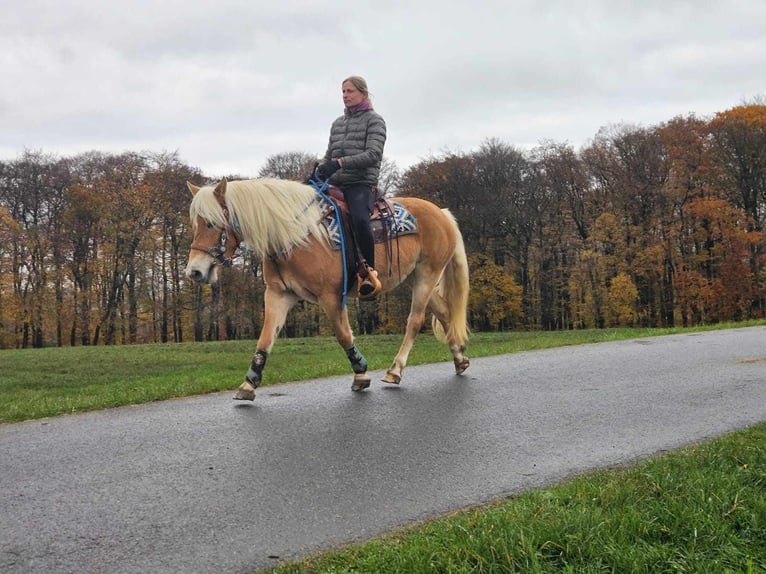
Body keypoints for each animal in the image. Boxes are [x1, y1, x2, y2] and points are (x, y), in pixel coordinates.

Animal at [188, 178, 474, 402]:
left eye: (211, 223)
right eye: (195, 224)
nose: (194, 271)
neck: (295, 236)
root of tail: (442, 213)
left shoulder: (331, 297)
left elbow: (344, 335)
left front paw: (361, 373)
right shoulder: (278, 295)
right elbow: (265, 339)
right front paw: (249, 384)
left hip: (427, 274)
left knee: (415, 320)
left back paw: (395, 371)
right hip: (417, 277)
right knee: (445, 313)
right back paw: (459, 358)